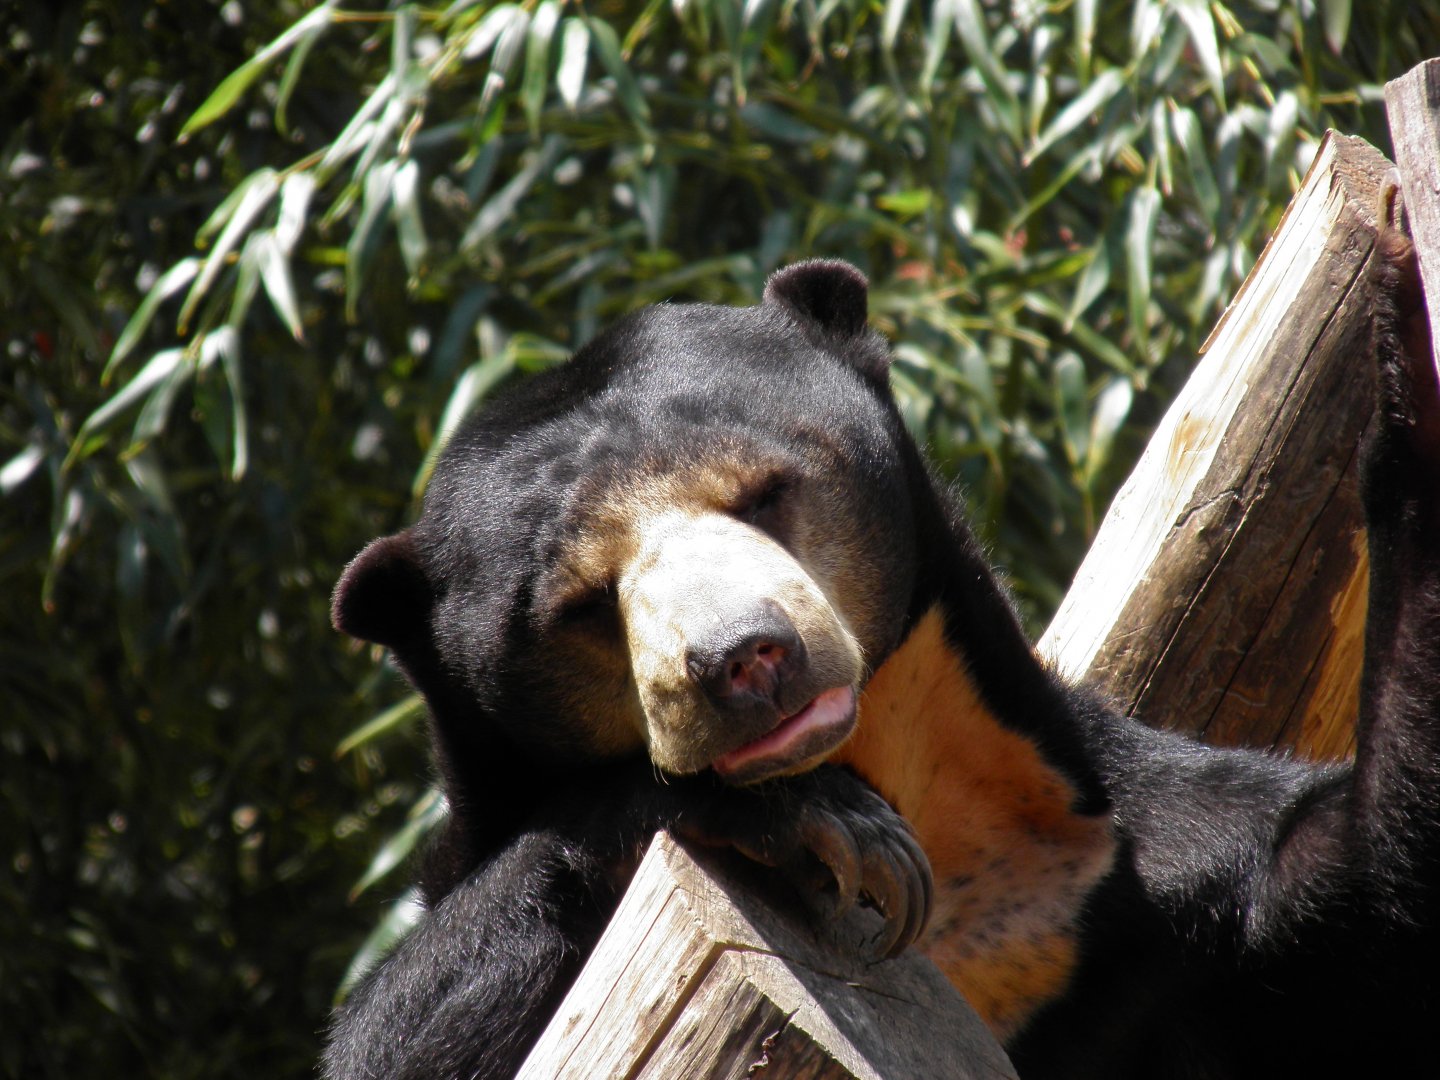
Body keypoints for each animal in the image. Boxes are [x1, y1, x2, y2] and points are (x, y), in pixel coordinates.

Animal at [323, 196, 1440, 1079]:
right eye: (584, 603)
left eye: (764, 494)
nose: (745, 661)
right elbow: (390, 1035)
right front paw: (821, 825)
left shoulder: (1159, 887)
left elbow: (1374, 912)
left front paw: (1406, 342)